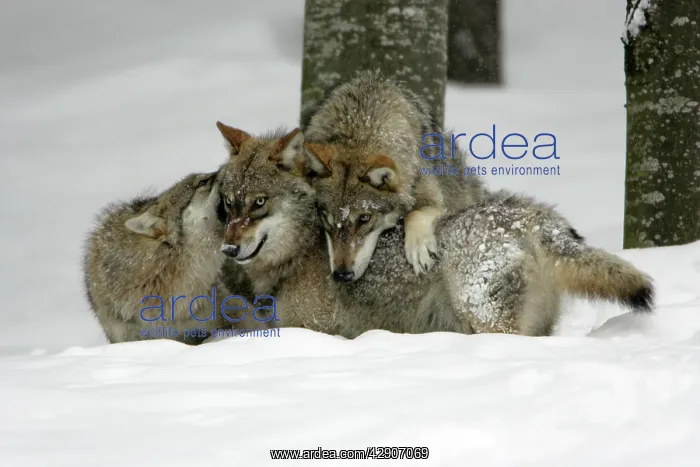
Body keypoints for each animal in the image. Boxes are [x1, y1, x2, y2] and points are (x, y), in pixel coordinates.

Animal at [301, 70, 485, 277]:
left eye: (364, 218)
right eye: (326, 218)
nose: (342, 275)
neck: (358, 125)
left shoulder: (437, 200)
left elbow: (415, 213)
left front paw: (419, 249)